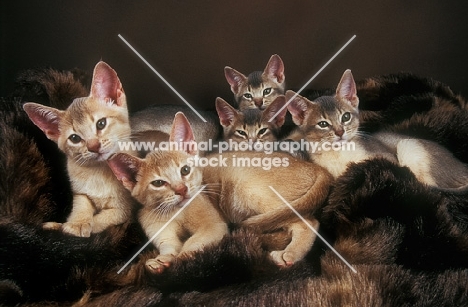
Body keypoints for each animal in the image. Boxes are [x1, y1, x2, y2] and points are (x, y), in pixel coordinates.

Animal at [22, 60, 135, 238]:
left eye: (101, 123)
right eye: (74, 138)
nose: (94, 146)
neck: (98, 173)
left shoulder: (125, 209)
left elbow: (105, 218)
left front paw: (83, 225)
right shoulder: (80, 193)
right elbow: (81, 206)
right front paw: (75, 223)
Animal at [108, 112, 229, 274]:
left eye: (185, 170)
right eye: (158, 183)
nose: (182, 189)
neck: (176, 212)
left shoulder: (214, 226)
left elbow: (194, 241)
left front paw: (182, 258)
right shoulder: (155, 226)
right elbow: (169, 245)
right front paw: (163, 259)